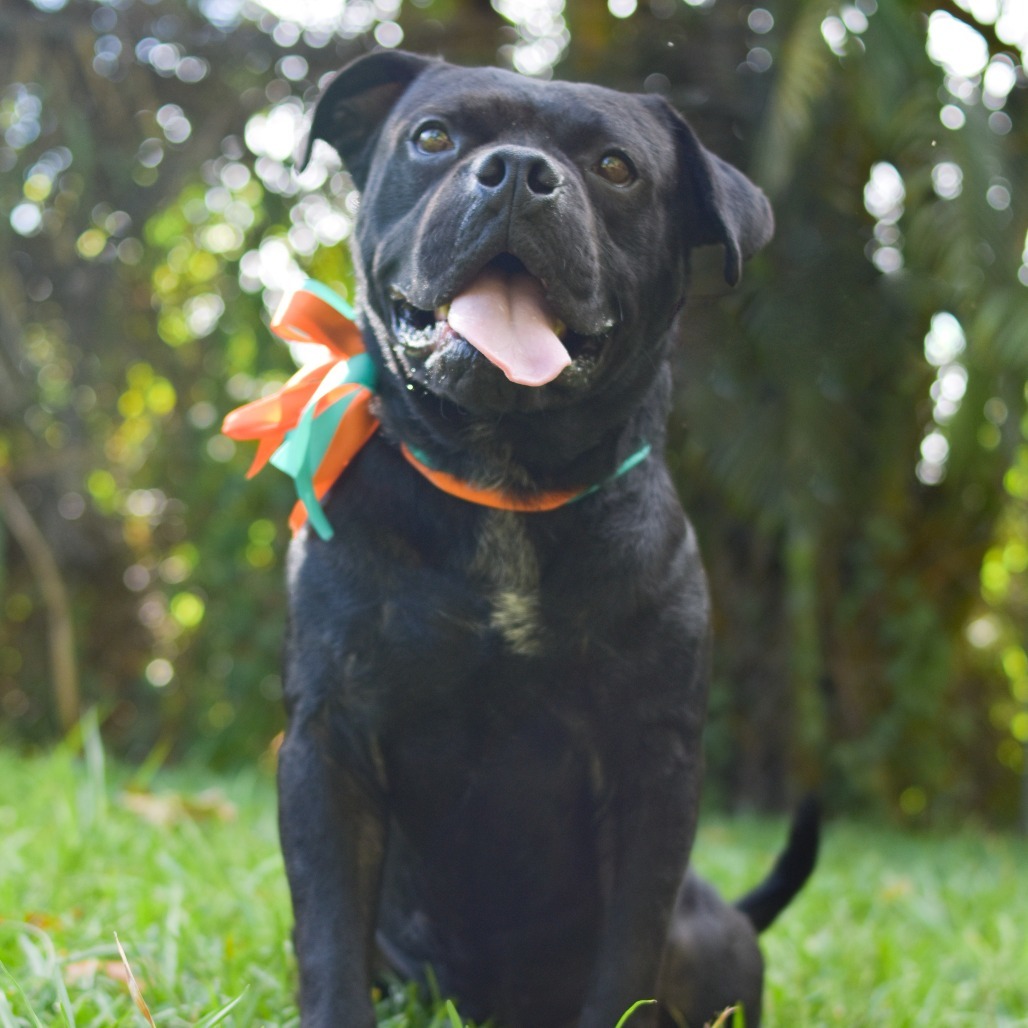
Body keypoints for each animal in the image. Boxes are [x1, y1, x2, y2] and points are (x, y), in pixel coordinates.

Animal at [277, 50, 789, 1028]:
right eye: (433, 136)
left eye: (616, 167)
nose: (517, 171)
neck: (502, 480)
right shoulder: (330, 744)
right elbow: (327, 937)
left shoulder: (653, 764)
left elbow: (628, 954)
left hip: (712, 937)